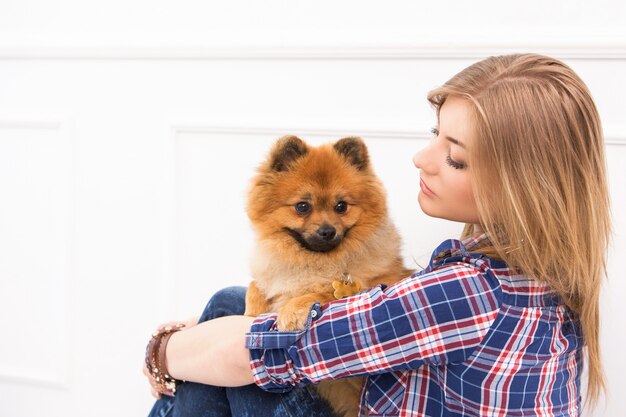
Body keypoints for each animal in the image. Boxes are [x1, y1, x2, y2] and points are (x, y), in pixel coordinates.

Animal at [245, 135, 414, 414]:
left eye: (341, 206)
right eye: (302, 206)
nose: (327, 231)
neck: (314, 261)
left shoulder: (360, 290)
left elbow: (322, 292)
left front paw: (291, 312)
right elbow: (254, 285)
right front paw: (252, 311)